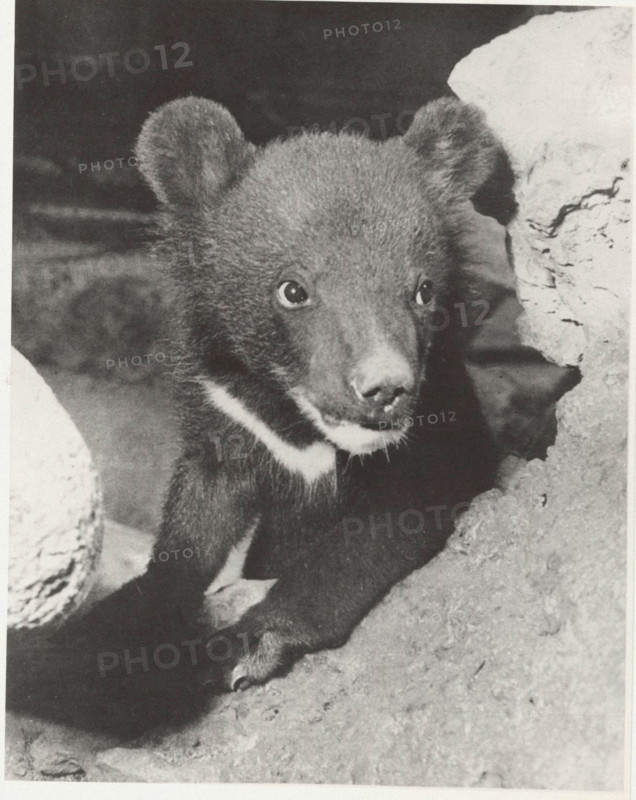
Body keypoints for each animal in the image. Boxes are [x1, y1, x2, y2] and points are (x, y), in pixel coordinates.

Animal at [116, 95, 508, 693]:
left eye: (423, 290)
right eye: (293, 290)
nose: (385, 388)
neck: (297, 422)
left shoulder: (440, 424)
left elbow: (372, 535)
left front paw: (249, 644)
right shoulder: (226, 411)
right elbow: (195, 518)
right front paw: (145, 610)